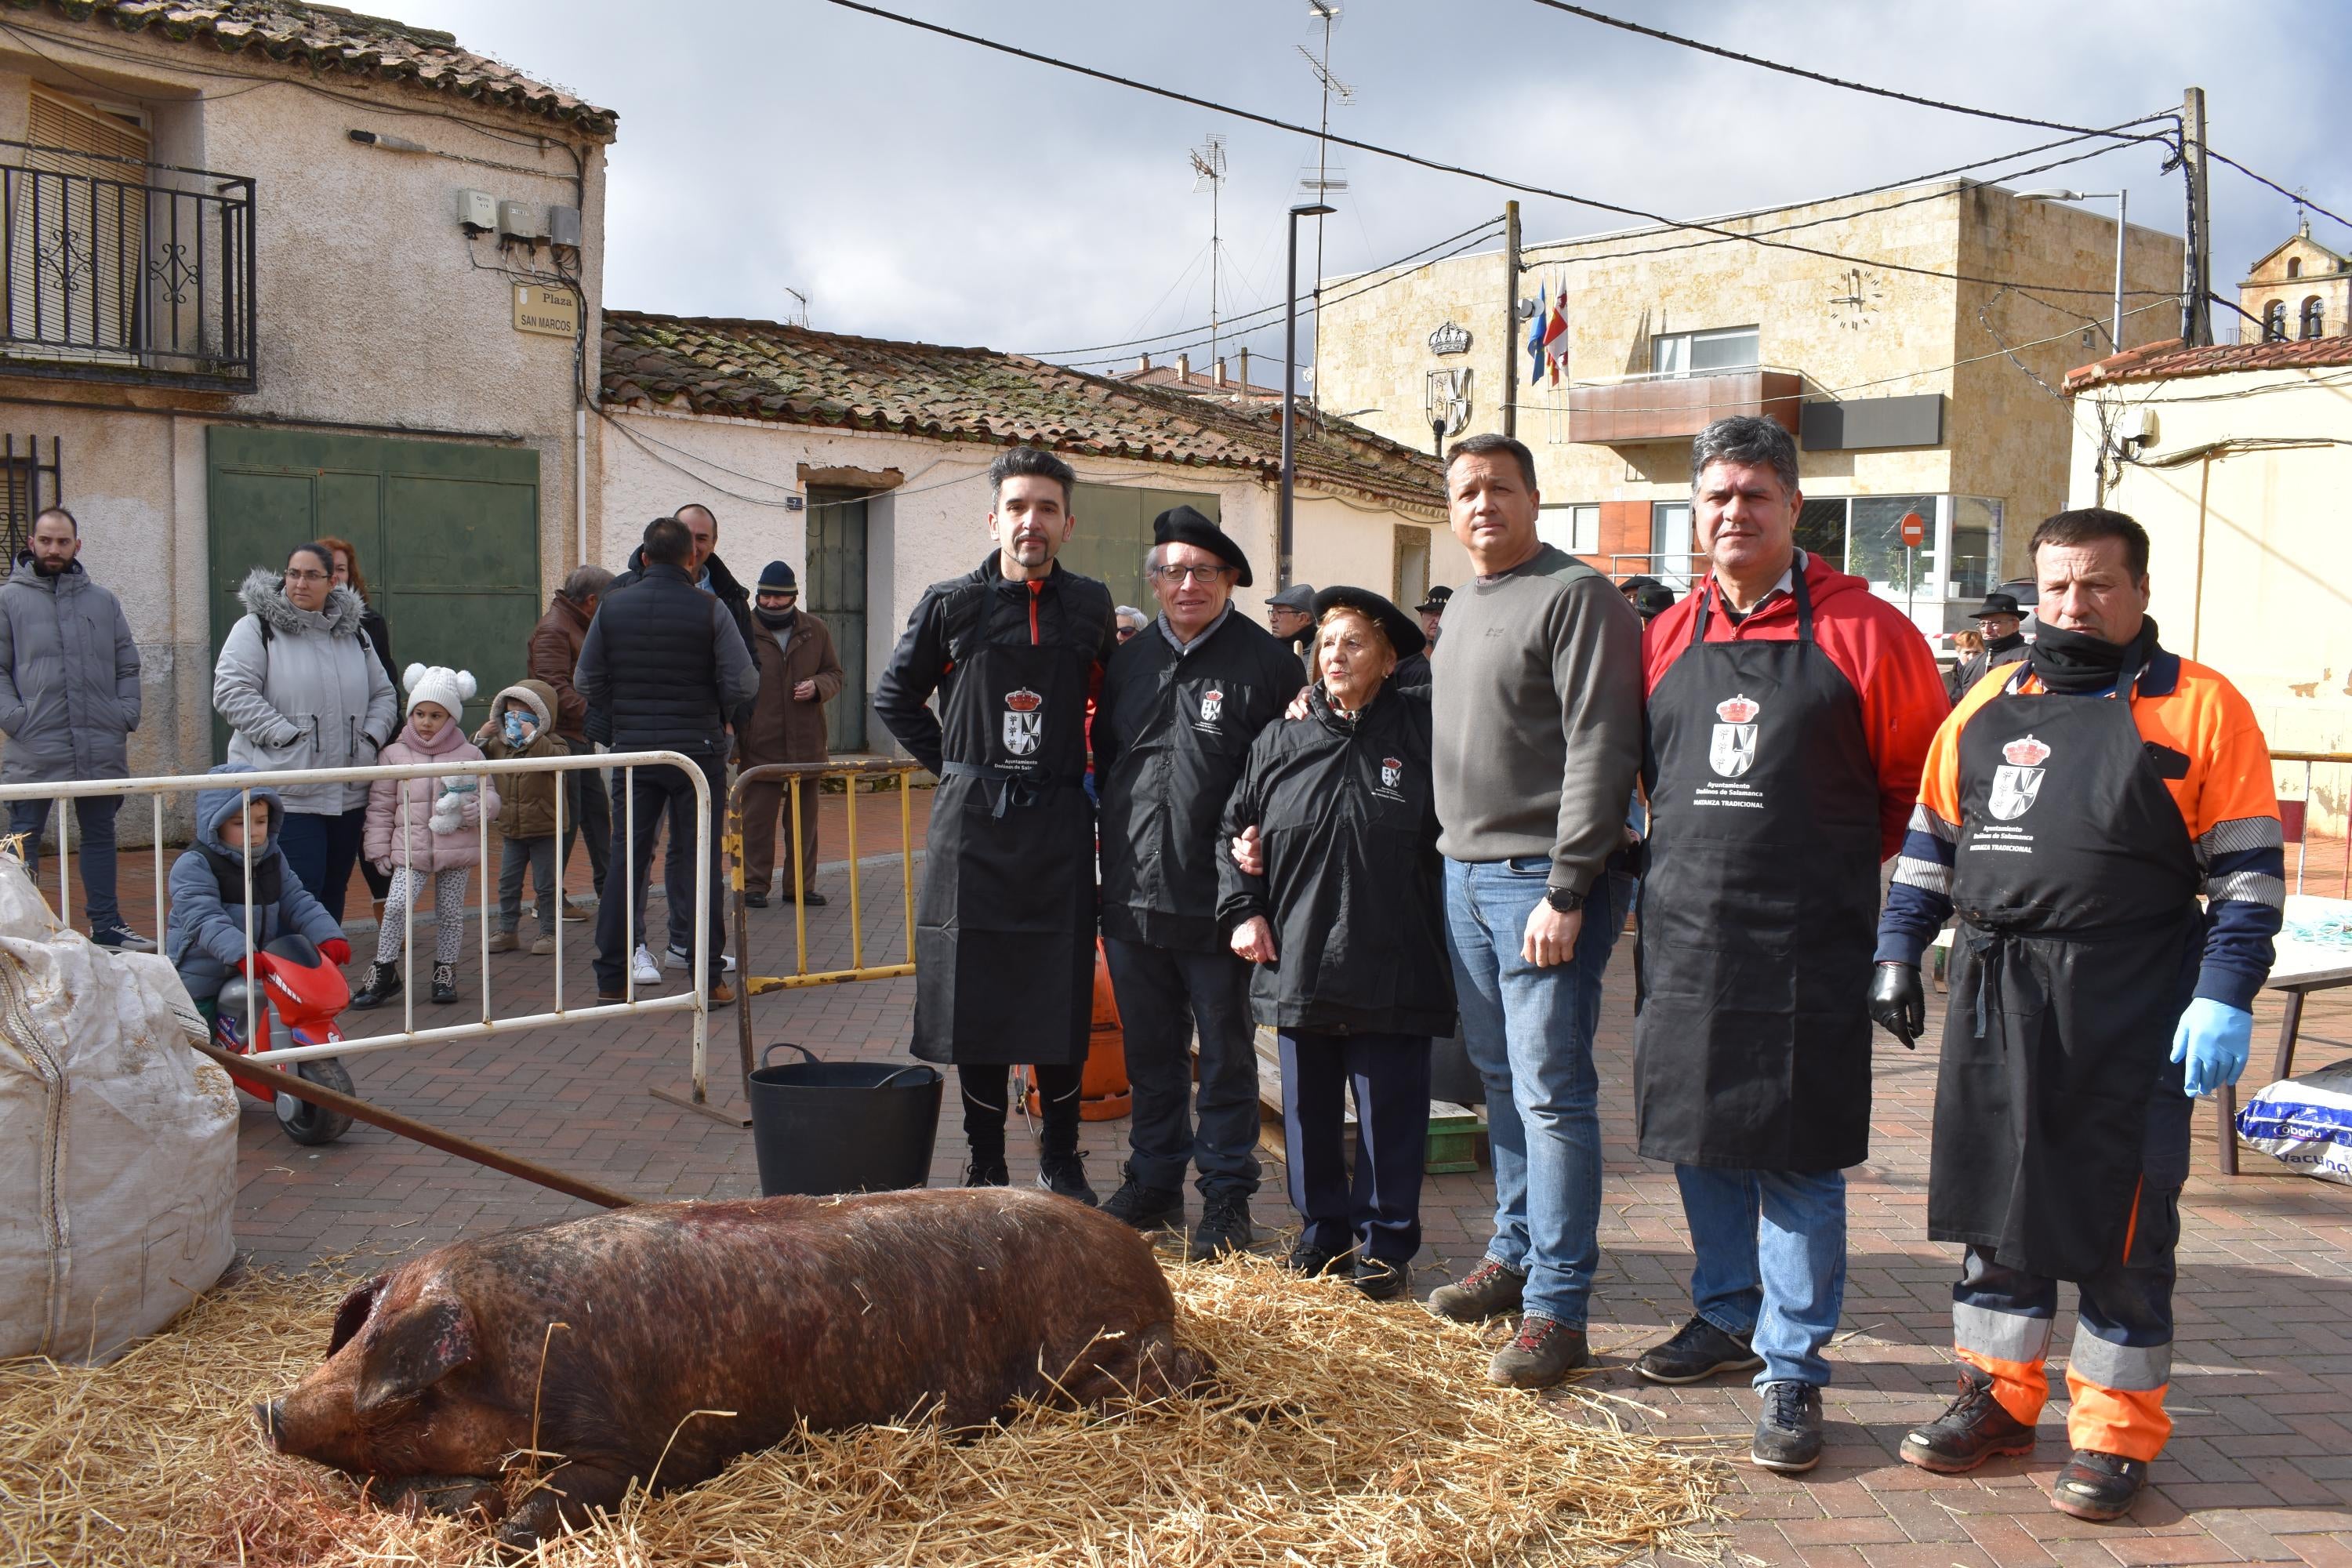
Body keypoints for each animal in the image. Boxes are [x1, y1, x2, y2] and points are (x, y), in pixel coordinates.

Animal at [257, 1189, 1214, 1542]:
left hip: (1108, 1356)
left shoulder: (635, 1448)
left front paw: (498, 1524)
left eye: (406, 1391)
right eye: (358, 1332)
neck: (516, 1353)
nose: (266, 1410)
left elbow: (537, 1509)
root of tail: (1149, 1264)